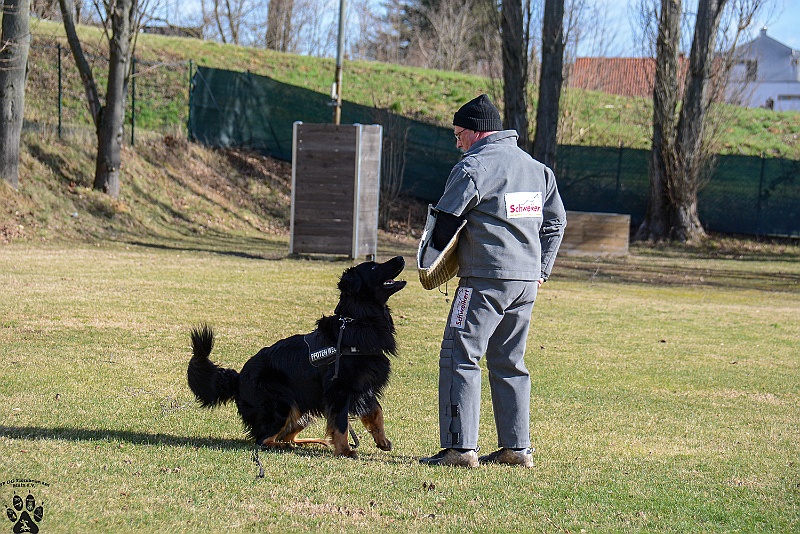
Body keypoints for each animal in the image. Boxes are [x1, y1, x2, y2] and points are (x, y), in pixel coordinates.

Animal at [187, 256, 406, 458]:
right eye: (374, 267)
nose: (401, 258)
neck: (357, 320)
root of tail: (239, 378)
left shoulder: (363, 386)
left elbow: (376, 411)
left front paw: (382, 440)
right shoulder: (339, 389)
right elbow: (341, 423)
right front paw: (345, 450)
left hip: (303, 409)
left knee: (285, 436)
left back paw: (311, 442)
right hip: (283, 405)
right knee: (264, 439)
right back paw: (284, 446)